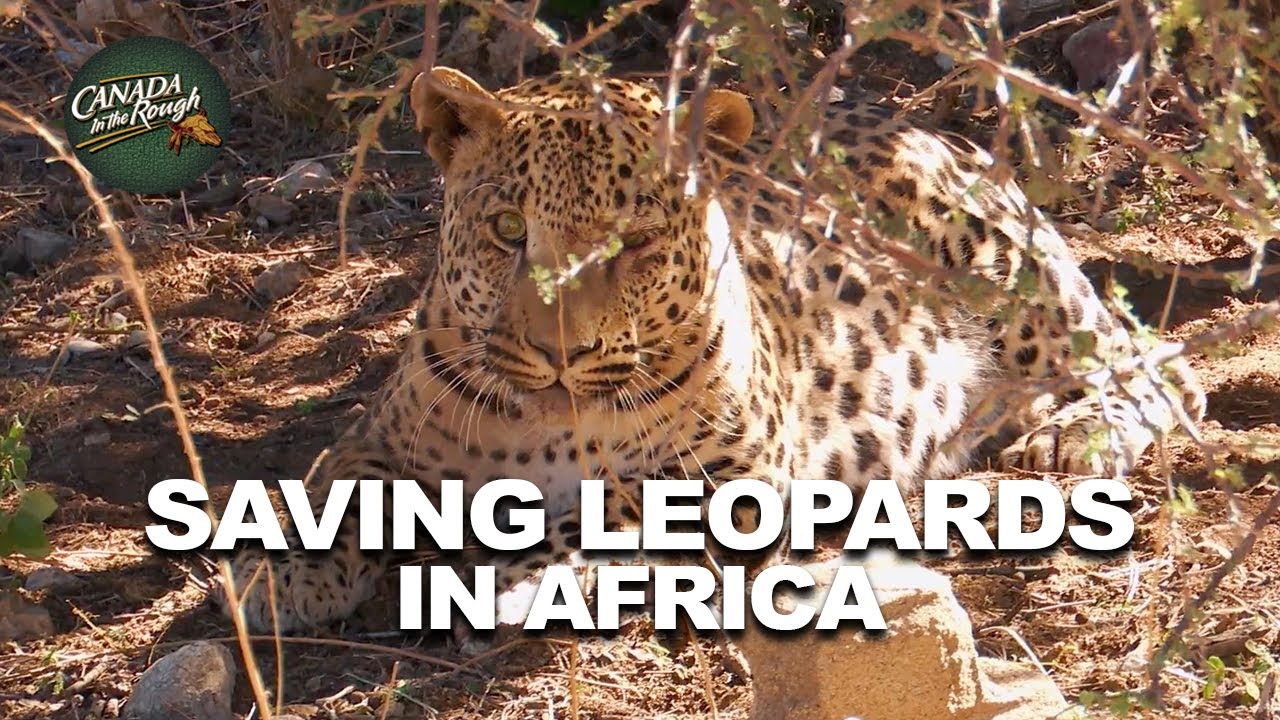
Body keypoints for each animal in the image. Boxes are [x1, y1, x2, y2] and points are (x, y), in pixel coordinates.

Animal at [219, 66, 1206, 634]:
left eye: (634, 244)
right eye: (507, 230)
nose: (558, 353)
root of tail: (935, 130)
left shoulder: (738, 474)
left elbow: (612, 506)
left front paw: (519, 581)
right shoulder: (379, 438)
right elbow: (336, 496)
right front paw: (283, 573)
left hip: (1008, 280)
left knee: (1160, 362)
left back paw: (1075, 436)